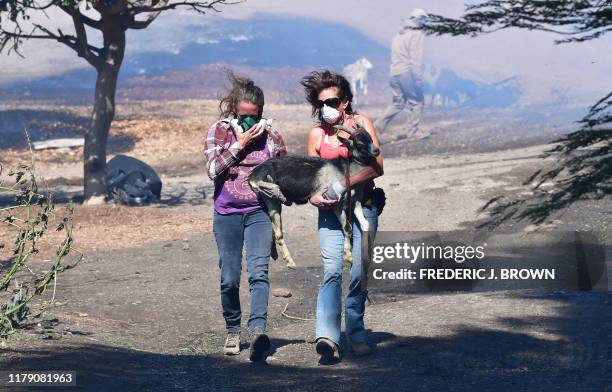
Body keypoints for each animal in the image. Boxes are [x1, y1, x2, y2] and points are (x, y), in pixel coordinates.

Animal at [249, 124, 378, 268]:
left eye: (370, 137)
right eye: (360, 143)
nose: (376, 151)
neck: (344, 170)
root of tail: (253, 174)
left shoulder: (355, 202)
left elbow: (365, 224)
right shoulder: (336, 204)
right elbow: (347, 228)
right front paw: (349, 257)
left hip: (272, 203)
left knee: (276, 231)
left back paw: (285, 259)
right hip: (270, 198)